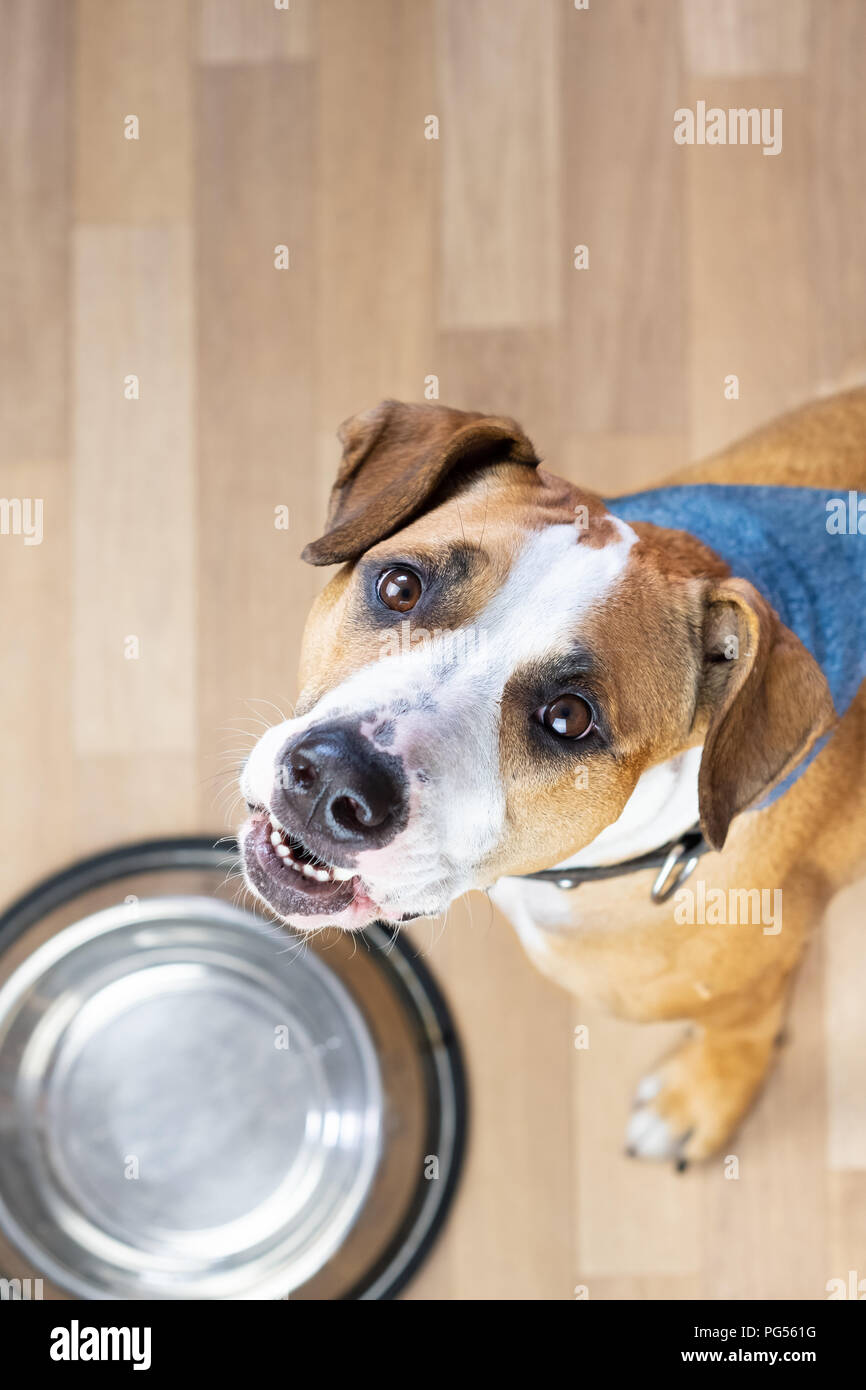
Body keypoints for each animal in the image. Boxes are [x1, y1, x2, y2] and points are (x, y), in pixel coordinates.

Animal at [237, 389, 866, 1162]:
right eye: (400, 585)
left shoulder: (755, 978)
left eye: (569, 718)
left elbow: (743, 1028)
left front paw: (703, 1098)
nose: (334, 779)